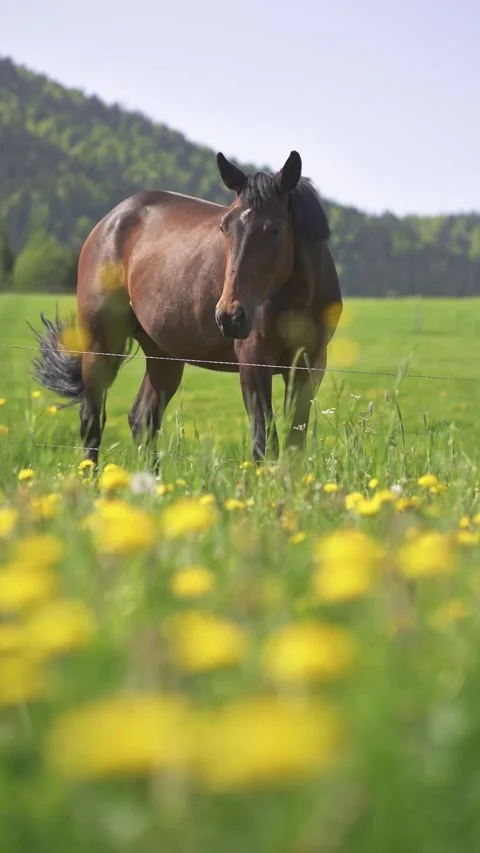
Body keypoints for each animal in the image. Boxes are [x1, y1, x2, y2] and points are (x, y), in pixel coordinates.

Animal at [31, 150, 342, 468]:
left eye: (275, 229)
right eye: (225, 227)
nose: (229, 316)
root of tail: (108, 223)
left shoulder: (309, 366)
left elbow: (294, 443)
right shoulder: (254, 362)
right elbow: (264, 444)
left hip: (163, 356)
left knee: (143, 419)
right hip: (100, 346)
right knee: (92, 422)